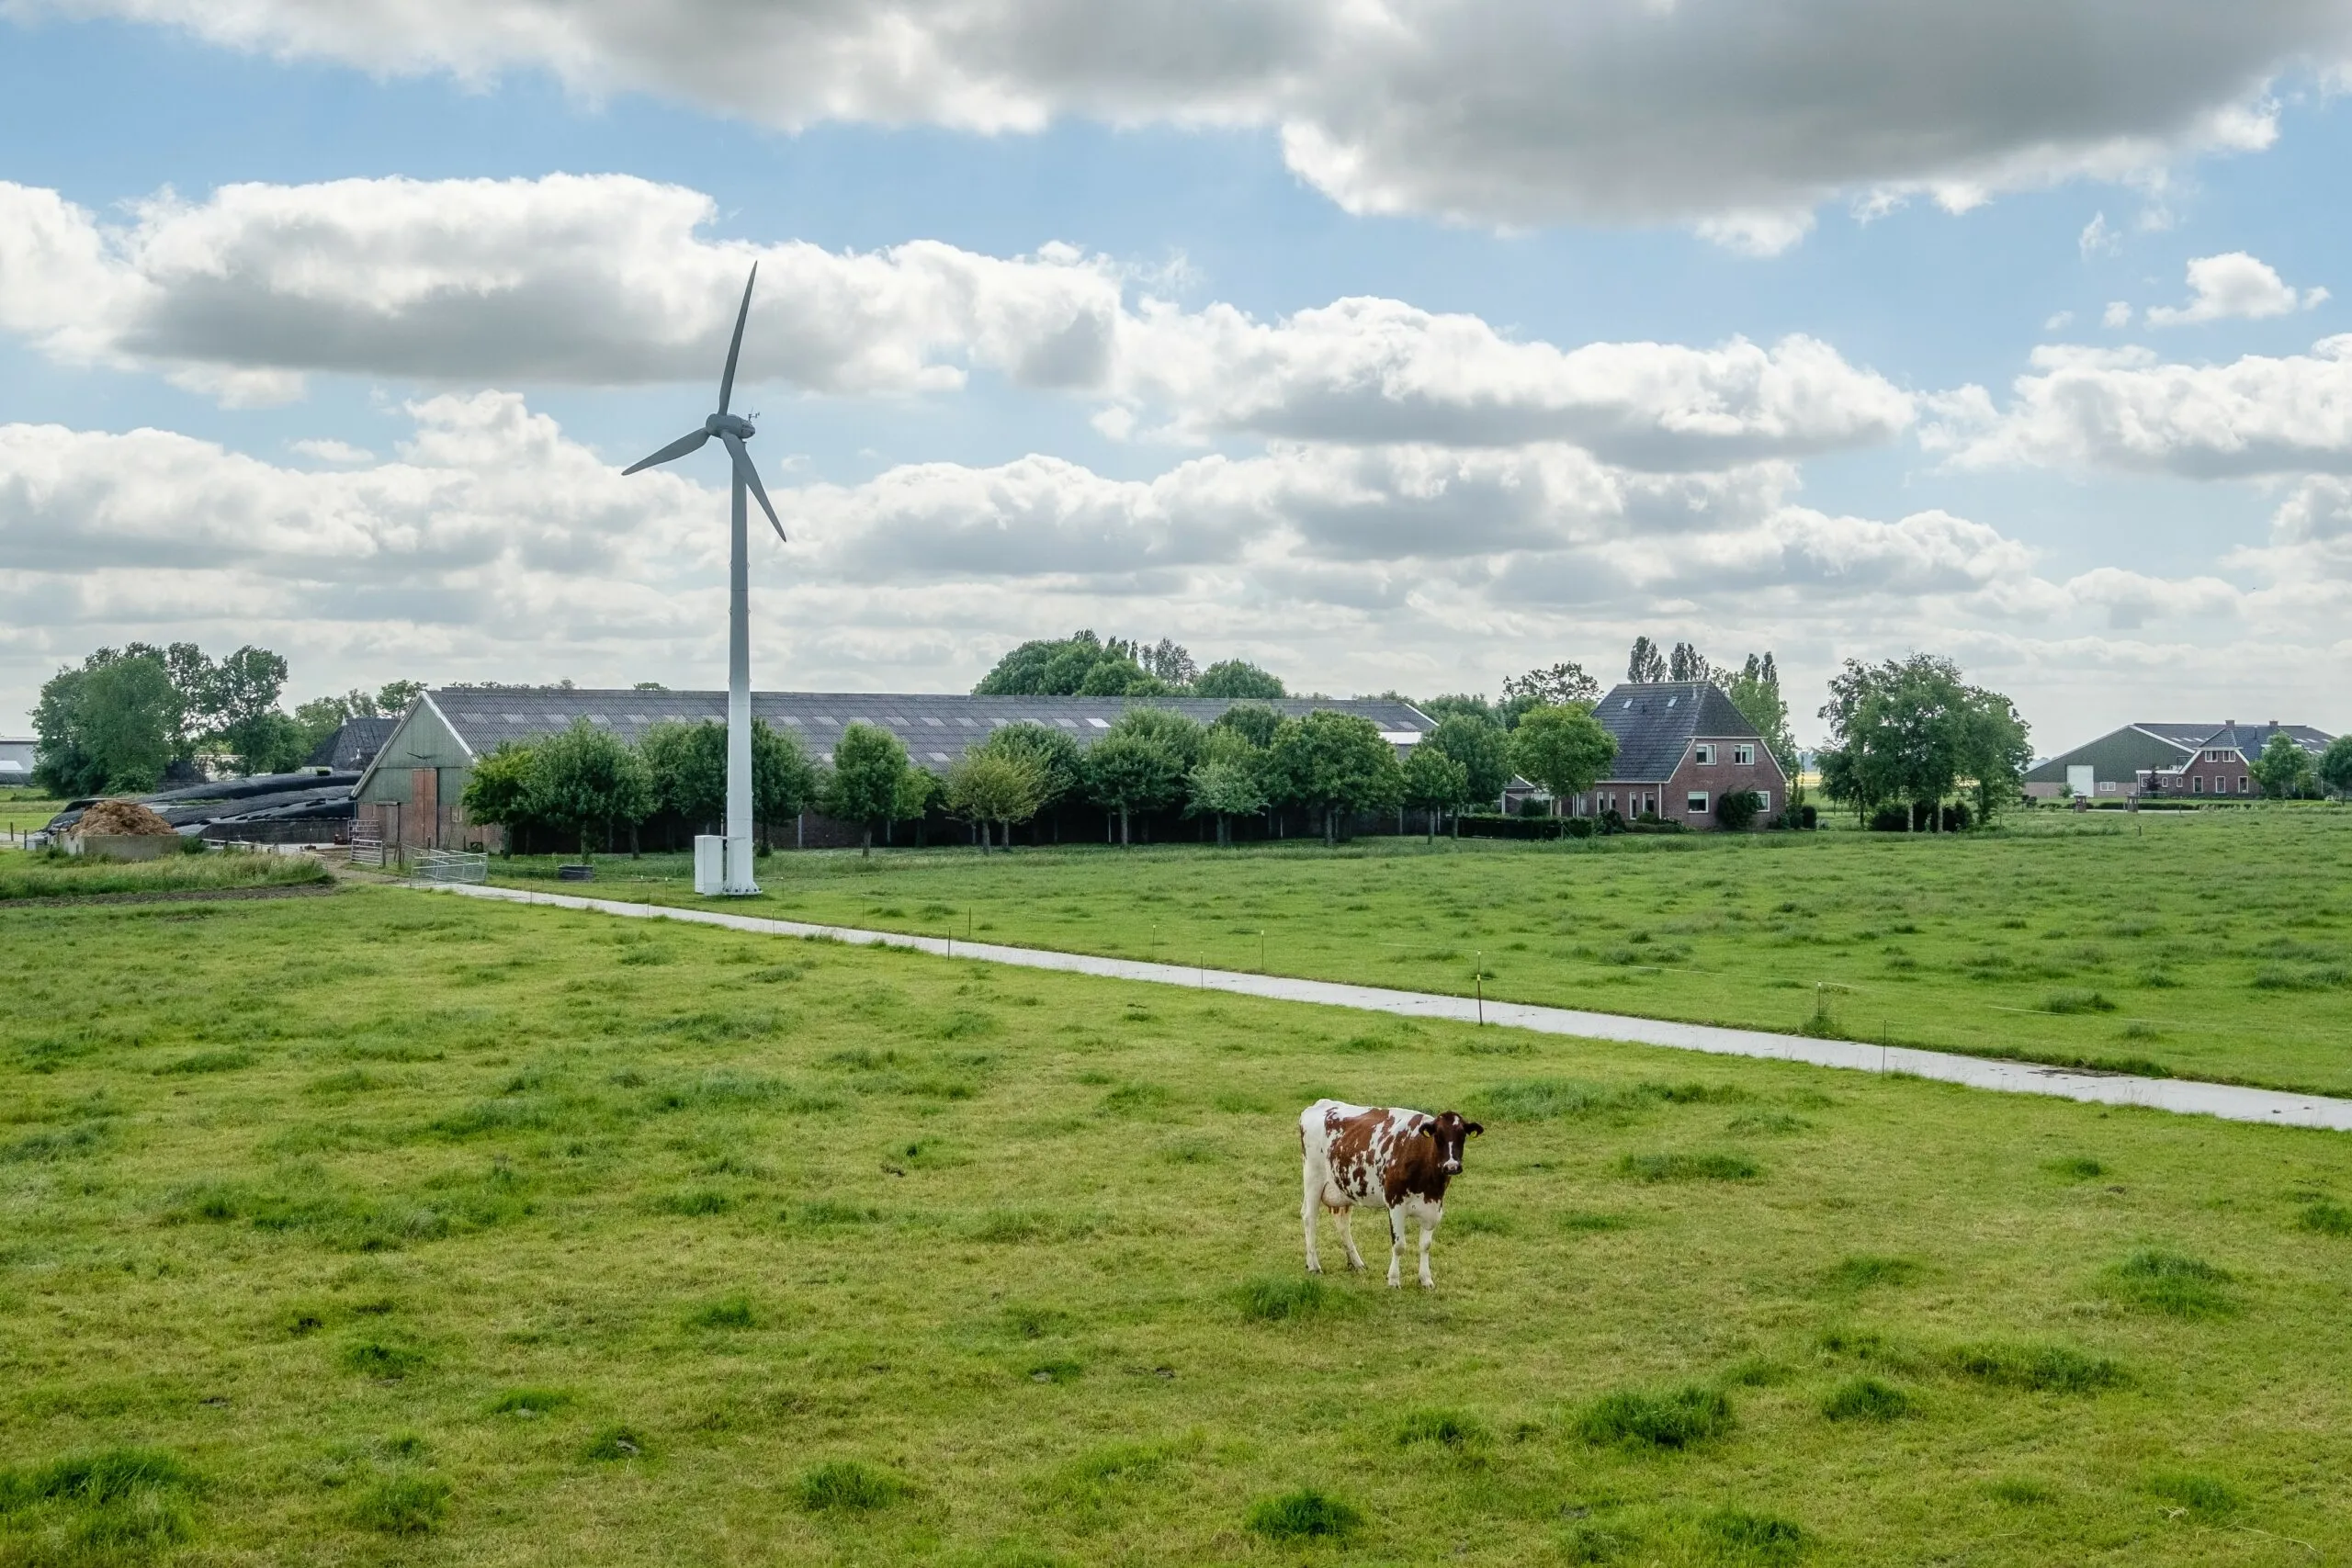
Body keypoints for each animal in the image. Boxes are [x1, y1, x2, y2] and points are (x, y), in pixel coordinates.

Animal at [1298, 1100, 1476, 1297]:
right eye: (1438, 1136)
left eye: (1462, 1136)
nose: (1451, 1166)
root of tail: (1321, 1103)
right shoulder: (1395, 1204)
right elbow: (1399, 1246)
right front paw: (1393, 1280)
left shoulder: (1434, 1207)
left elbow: (1426, 1245)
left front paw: (1426, 1280)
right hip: (1313, 1179)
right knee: (1309, 1218)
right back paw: (1314, 1265)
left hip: (1343, 1187)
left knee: (1342, 1223)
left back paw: (1356, 1263)